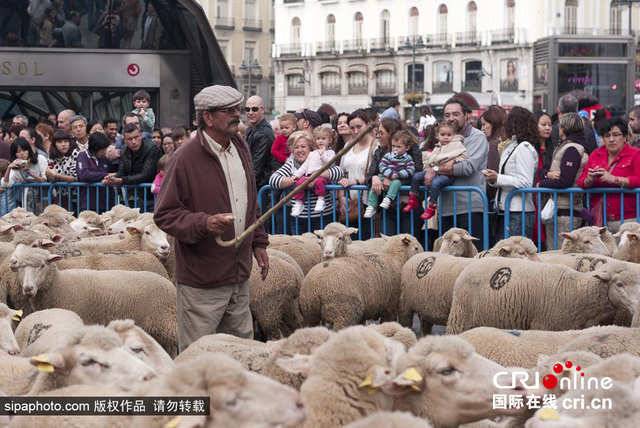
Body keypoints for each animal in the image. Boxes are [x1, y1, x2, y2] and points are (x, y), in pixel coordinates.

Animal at [11, 246, 178, 356]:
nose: (28, 288)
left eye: (42, 265)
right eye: (20, 268)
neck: (60, 285)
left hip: (168, 322)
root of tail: (168, 283)